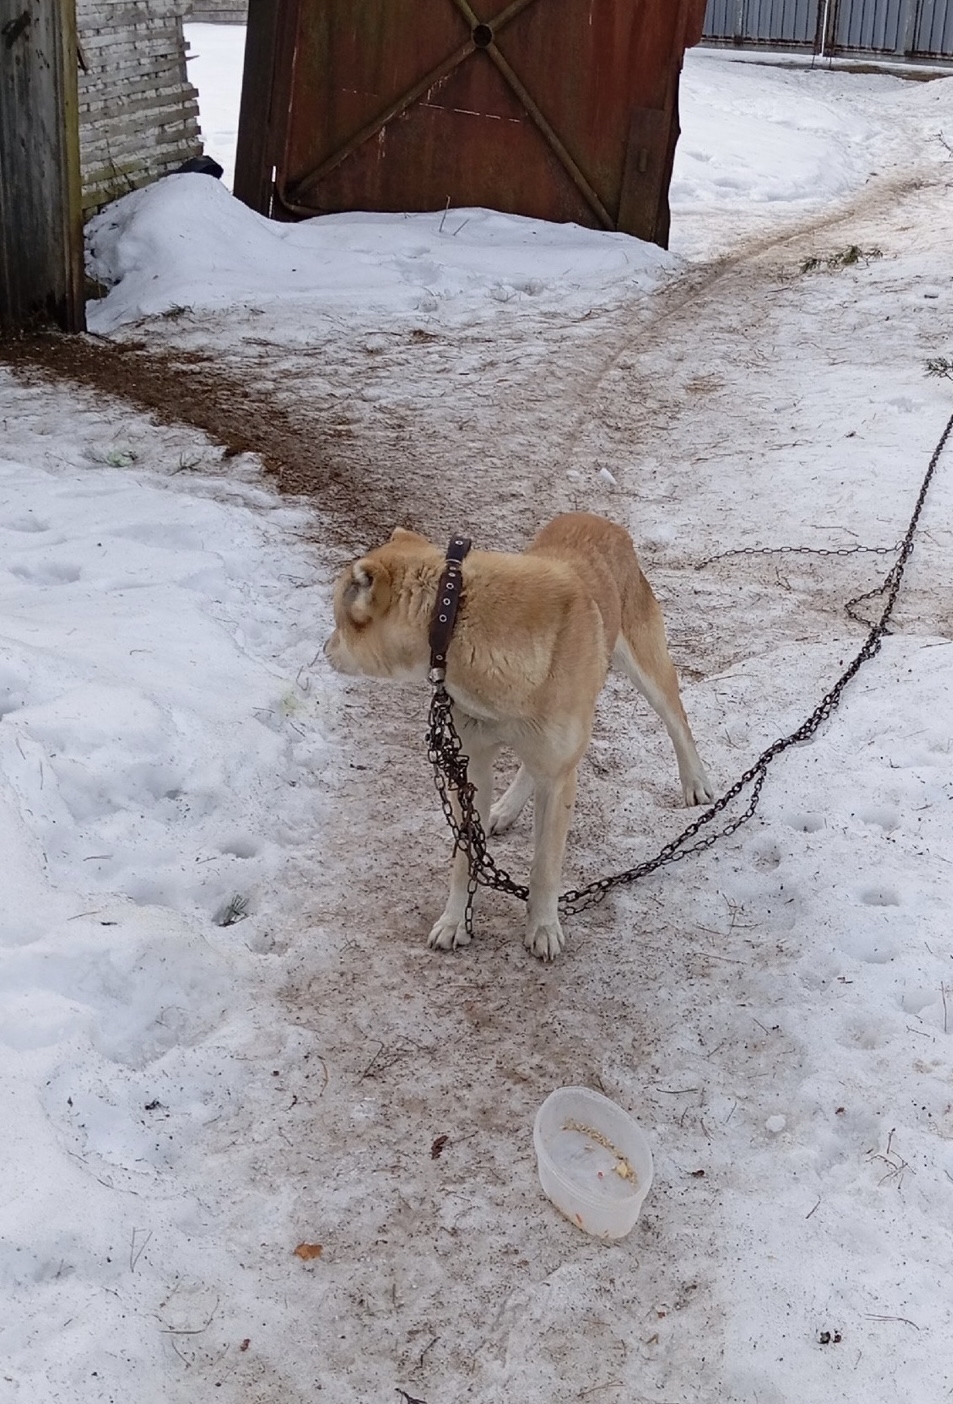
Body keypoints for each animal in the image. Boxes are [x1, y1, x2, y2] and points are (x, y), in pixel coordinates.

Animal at [324, 511, 712, 960]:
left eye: (337, 620)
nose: (324, 650)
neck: (456, 616)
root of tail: (597, 519)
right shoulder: (471, 765)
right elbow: (465, 858)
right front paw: (455, 922)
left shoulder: (559, 778)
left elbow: (544, 868)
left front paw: (542, 928)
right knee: (530, 767)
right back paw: (505, 810)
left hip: (646, 671)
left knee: (677, 720)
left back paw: (696, 782)